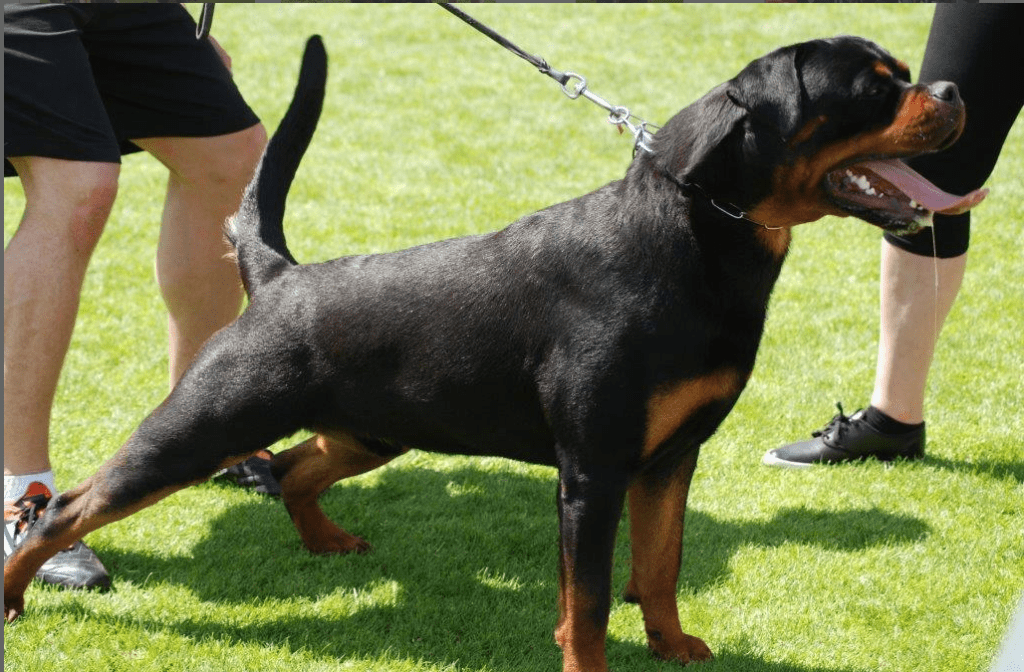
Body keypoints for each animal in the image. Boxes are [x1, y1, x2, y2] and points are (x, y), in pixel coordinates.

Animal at [6, 36, 983, 672]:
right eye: (876, 88)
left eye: (906, 74)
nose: (952, 88)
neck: (694, 239)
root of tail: (279, 276)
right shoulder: (593, 469)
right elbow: (589, 600)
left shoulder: (670, 457)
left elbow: (659, 568)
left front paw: (673, 648)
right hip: (200, 427)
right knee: (69, 508)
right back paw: (19, 591)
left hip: (370, 431)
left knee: (289, 470)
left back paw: (327, 540)